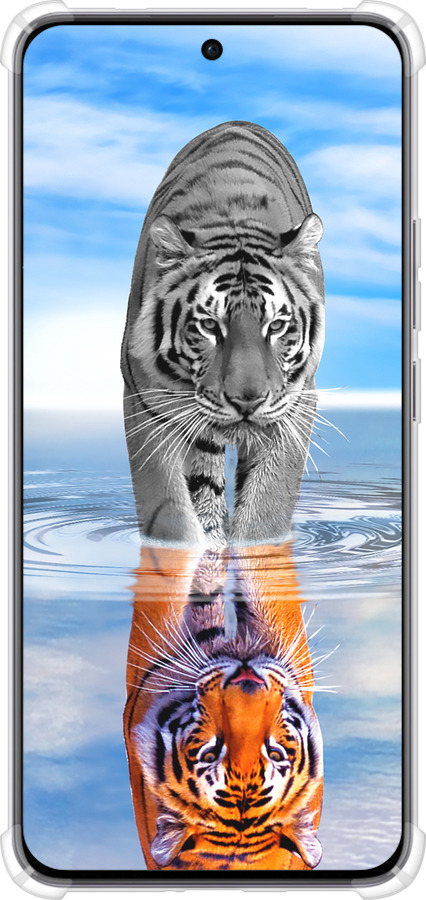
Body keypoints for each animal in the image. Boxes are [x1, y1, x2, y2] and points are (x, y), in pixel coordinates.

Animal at [121, 120, 325, 549]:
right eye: (210, 326)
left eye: (276, 326)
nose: (247, 401)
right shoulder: (145, 401)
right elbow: (169, 513)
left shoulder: (296, 404)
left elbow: (266, 509)